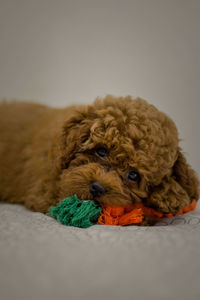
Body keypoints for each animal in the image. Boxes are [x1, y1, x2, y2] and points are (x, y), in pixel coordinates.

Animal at [0, 94, 199, 216]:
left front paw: (171, 195)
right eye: (101, 151)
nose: (97, 188)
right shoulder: (47, 190)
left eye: (133, 175)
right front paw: (172, 195)